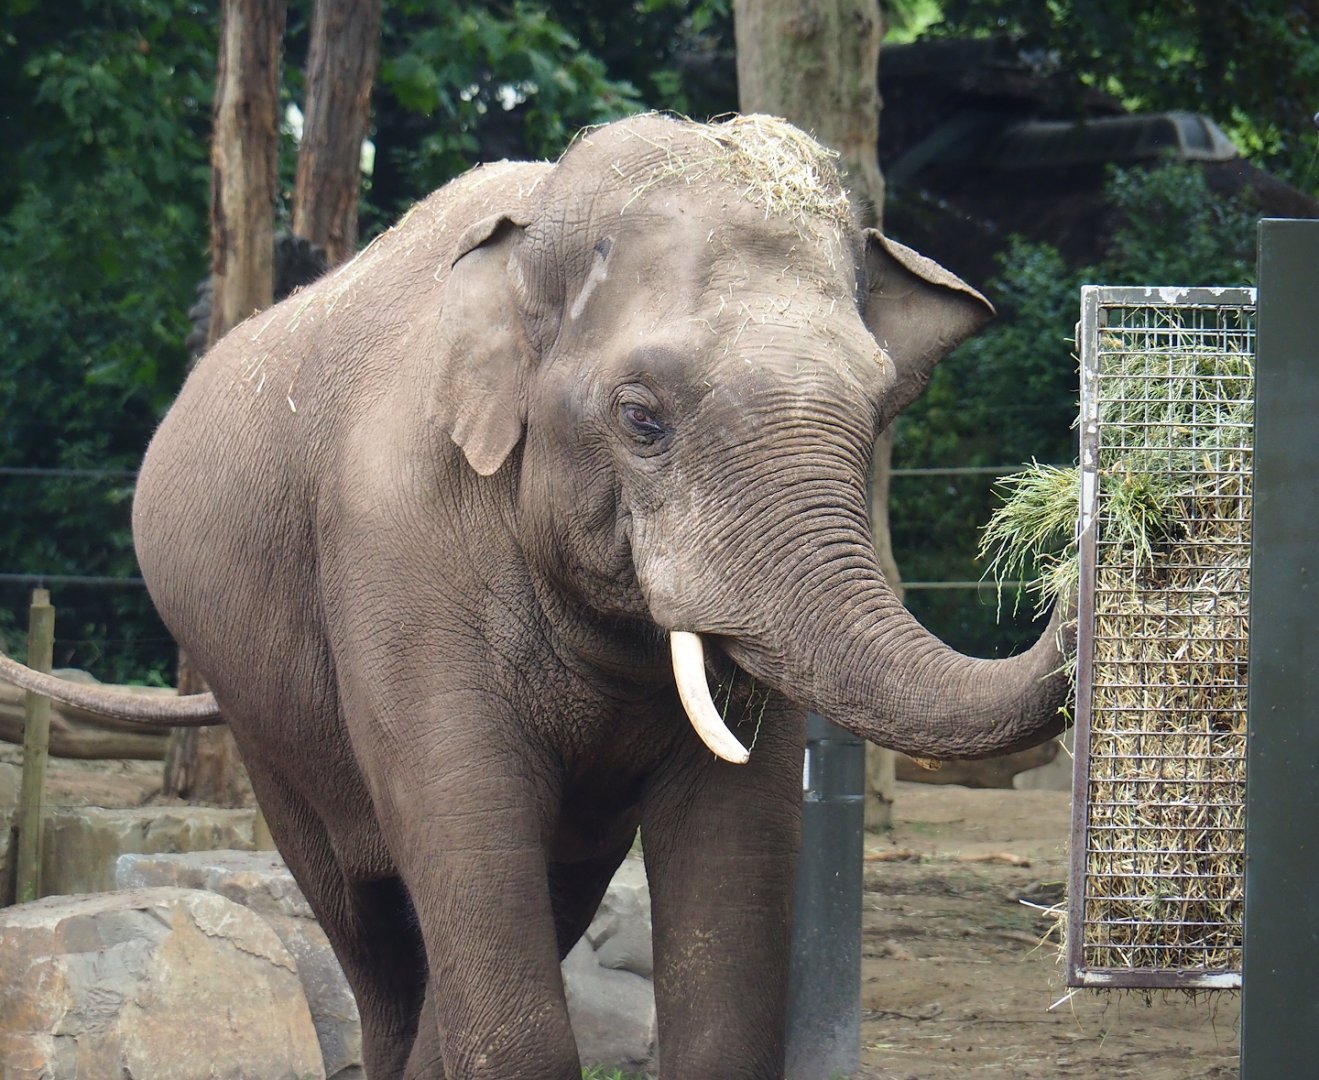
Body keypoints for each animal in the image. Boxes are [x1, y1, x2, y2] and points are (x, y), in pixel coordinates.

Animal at [0, 113, 1070, 1078]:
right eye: (640, 418)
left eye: (880, 408)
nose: (1082, 521)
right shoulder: (397, 549)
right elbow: (465, 827)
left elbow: (733, 835)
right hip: (262, 712)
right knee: (365, 921)